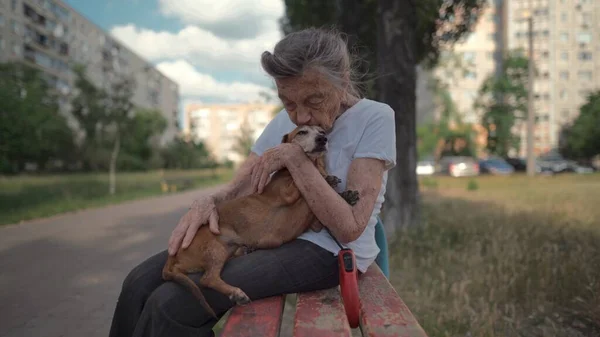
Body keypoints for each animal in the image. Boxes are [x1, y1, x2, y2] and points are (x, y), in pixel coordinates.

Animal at [162, 124, 358, 316]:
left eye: (322, 131)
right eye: (302, 132)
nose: (322, 139)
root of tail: (173, 257)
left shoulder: (315, 222)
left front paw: (345, 194)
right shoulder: (287, 192)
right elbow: (303, 178)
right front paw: (327, 178)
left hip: (224, 251)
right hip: (214, 250)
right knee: (206, 279)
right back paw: (236, 293)